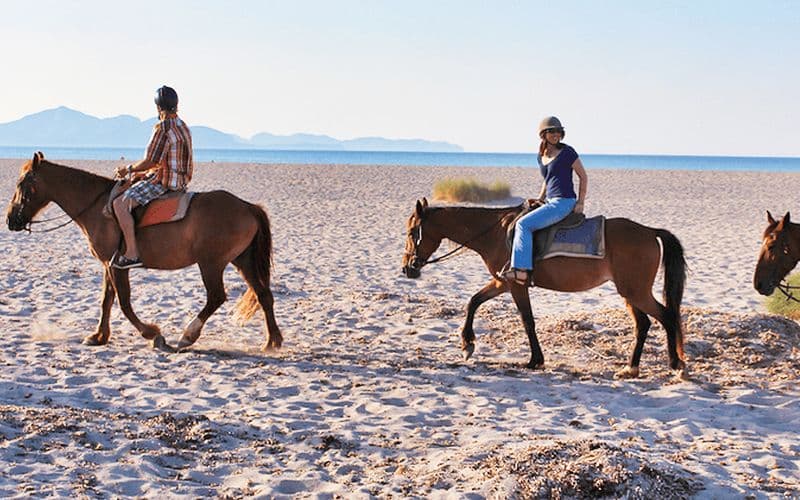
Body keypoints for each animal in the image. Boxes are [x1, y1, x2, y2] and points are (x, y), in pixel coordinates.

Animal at [6, 152, 282, 352]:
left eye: (22, 184)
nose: (10, 219)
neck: (97, 206)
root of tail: (248, 207)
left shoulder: (119, 266)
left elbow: (124, 303)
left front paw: (152, 334)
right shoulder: (109, 264)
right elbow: (107, 299)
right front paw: (99, 336)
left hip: (211, 264)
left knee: (216, 297)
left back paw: (187, 336)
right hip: (243, 261)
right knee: (263, 295)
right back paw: (272, 341)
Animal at [402, 198, 687, 378]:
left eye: (413, 231)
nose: (407, 268)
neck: (496, 232)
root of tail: (649, 231)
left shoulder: (515, 285)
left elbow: (527, 321)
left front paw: (534, 360)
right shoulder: (502, 282)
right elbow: (474, 301)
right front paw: (467, 343)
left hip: (636, 292)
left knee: (666, 316)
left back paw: (675, 365)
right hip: (629, 293)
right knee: (644, 324)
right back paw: (632, 368)